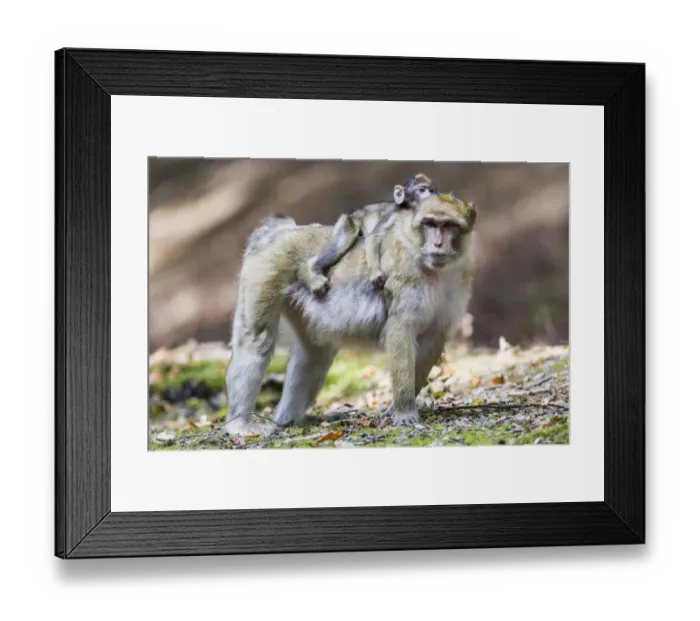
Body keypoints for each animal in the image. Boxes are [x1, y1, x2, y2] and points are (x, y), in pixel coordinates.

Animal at [221, 192, 477, 437]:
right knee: (256, 341)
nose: (437, 244)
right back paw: (240, 424)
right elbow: (400, 332)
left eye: (449, 226)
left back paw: (292, 420)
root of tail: (277, 231)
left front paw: (395, 407)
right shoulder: (405, 287)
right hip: (265, 272)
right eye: (430, 223)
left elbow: (433, 340)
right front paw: (404, 411)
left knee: (315, 355)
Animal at [304, 173, 438, 297]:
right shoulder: (393, 213)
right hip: (348, 220)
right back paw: (313, 268)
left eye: (431, 190)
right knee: (344, 239)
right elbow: (374, 237)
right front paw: (375, 273)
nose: (430, 196)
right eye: (422, 190)